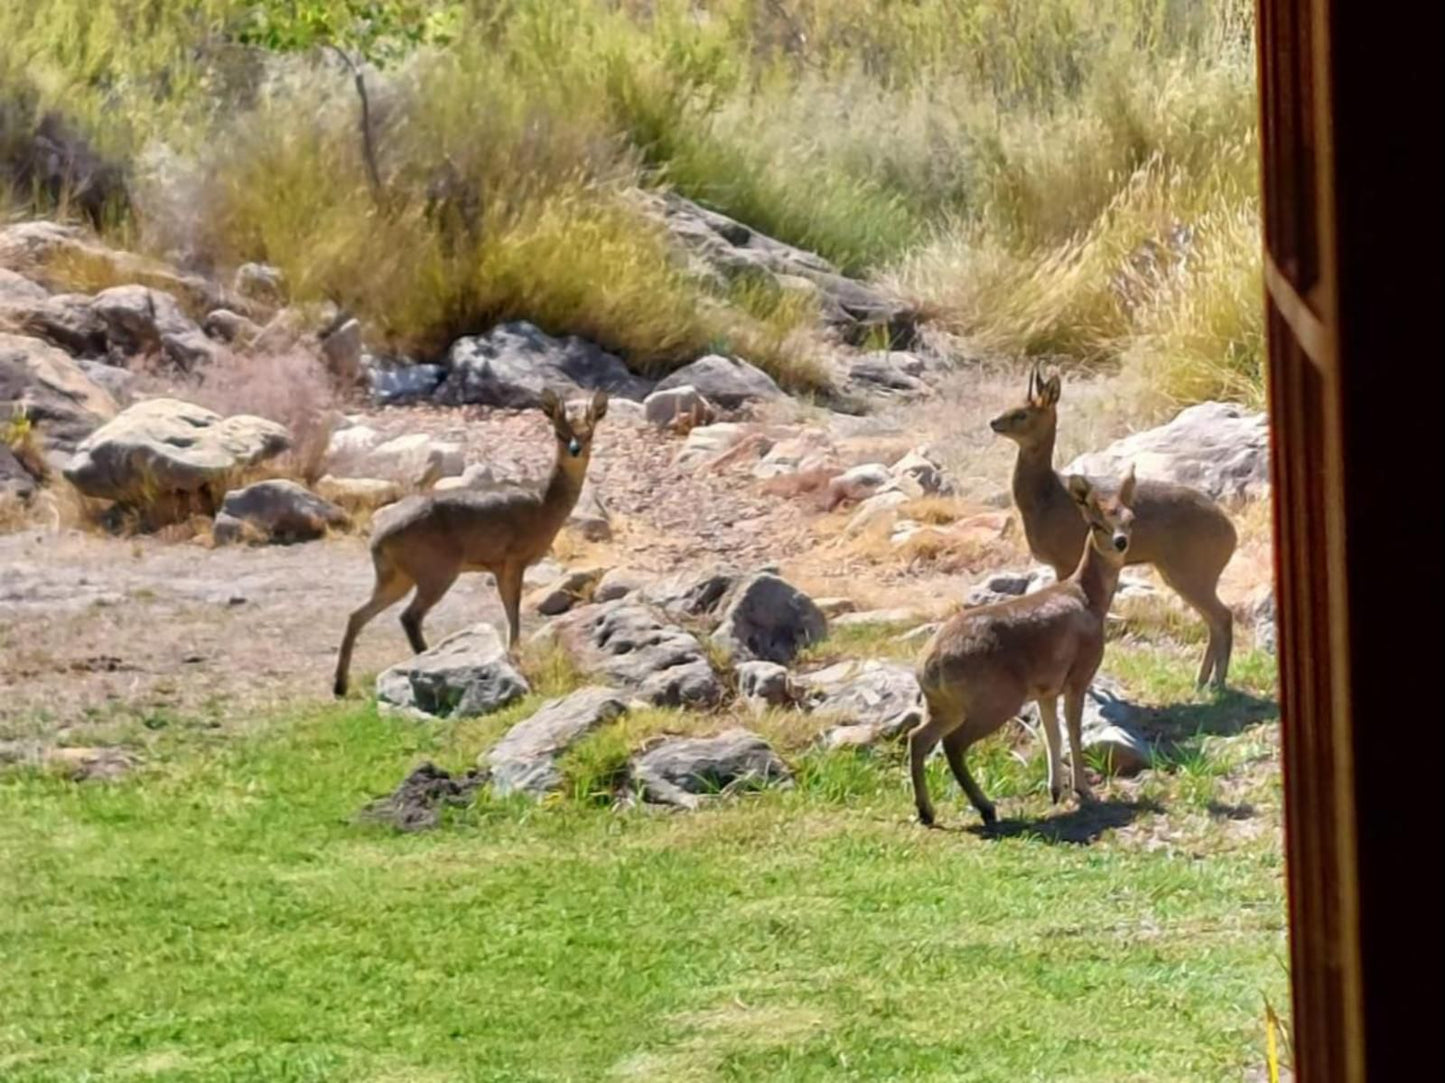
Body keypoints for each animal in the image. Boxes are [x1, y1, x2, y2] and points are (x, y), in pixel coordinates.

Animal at [330, 387, 606, 694]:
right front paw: (515, 655)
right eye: (559, 432)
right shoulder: (514, 558)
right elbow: (513, 609)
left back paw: (340, 685)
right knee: (409, 616)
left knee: (356, 614)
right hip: (437, 569)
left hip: (396, 575)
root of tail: (378, 539)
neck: (544, 505)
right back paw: (423, 661)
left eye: (589, 433)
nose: (575, 449)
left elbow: (509, 608)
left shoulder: (499, 564)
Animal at [913, 465, 1138, 827]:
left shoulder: (1045, 689)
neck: (1089, 598)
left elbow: (1052, 734)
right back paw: (986, 808)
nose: (1121, 542)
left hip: (945, 705)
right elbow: (1073, 731)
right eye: (1096, 522)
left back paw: (927, 812)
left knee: (918, 738)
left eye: (1130, 517)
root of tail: (927, 667)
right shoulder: (1079, 676)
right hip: (996, 698)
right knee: (952, 744)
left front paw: (1055, 791)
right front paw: (1083, 791)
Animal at [994, 362, 1242, 685]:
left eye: (1022, 413)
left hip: (1193, 570)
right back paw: (1202, 681)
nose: (994, 422)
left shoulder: (1065, 559)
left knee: (1222, 616)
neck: (1046, 497)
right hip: (1180, 572)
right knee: (1214, 618)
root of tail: (1231, 533)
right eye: (1012, 404)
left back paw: (1216, 683)